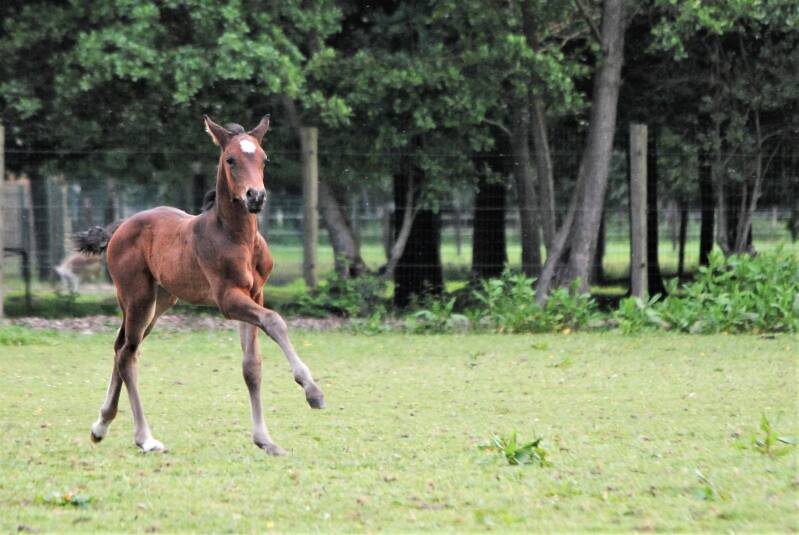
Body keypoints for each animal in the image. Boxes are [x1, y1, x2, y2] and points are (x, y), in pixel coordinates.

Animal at [75, 115, 325, 456]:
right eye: (231, 159)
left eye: (264, 159)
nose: (256, 197)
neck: (238, 239)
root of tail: (122, 226)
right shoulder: (228, 299)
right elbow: (275, 321)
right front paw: (312, 391)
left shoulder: (255, 293)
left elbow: (252, 366)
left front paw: (265, 440)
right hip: (137, 297)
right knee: (127, 354)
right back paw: (145, 438)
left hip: (161, 301)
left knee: (121, 346)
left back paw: (101, 425)